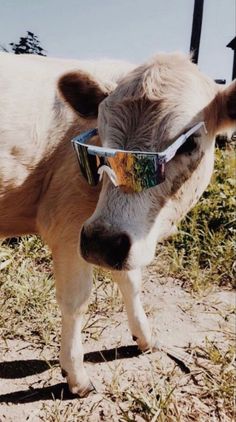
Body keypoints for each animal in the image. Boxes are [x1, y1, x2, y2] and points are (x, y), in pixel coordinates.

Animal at [0, 52, 235, 396]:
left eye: (189, 145)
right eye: (100, 137)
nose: (101, 243)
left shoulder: (117, 237)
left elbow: (132, 282)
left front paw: (145, 337)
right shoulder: (70, 226)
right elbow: (76, 302)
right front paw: (76, 375)